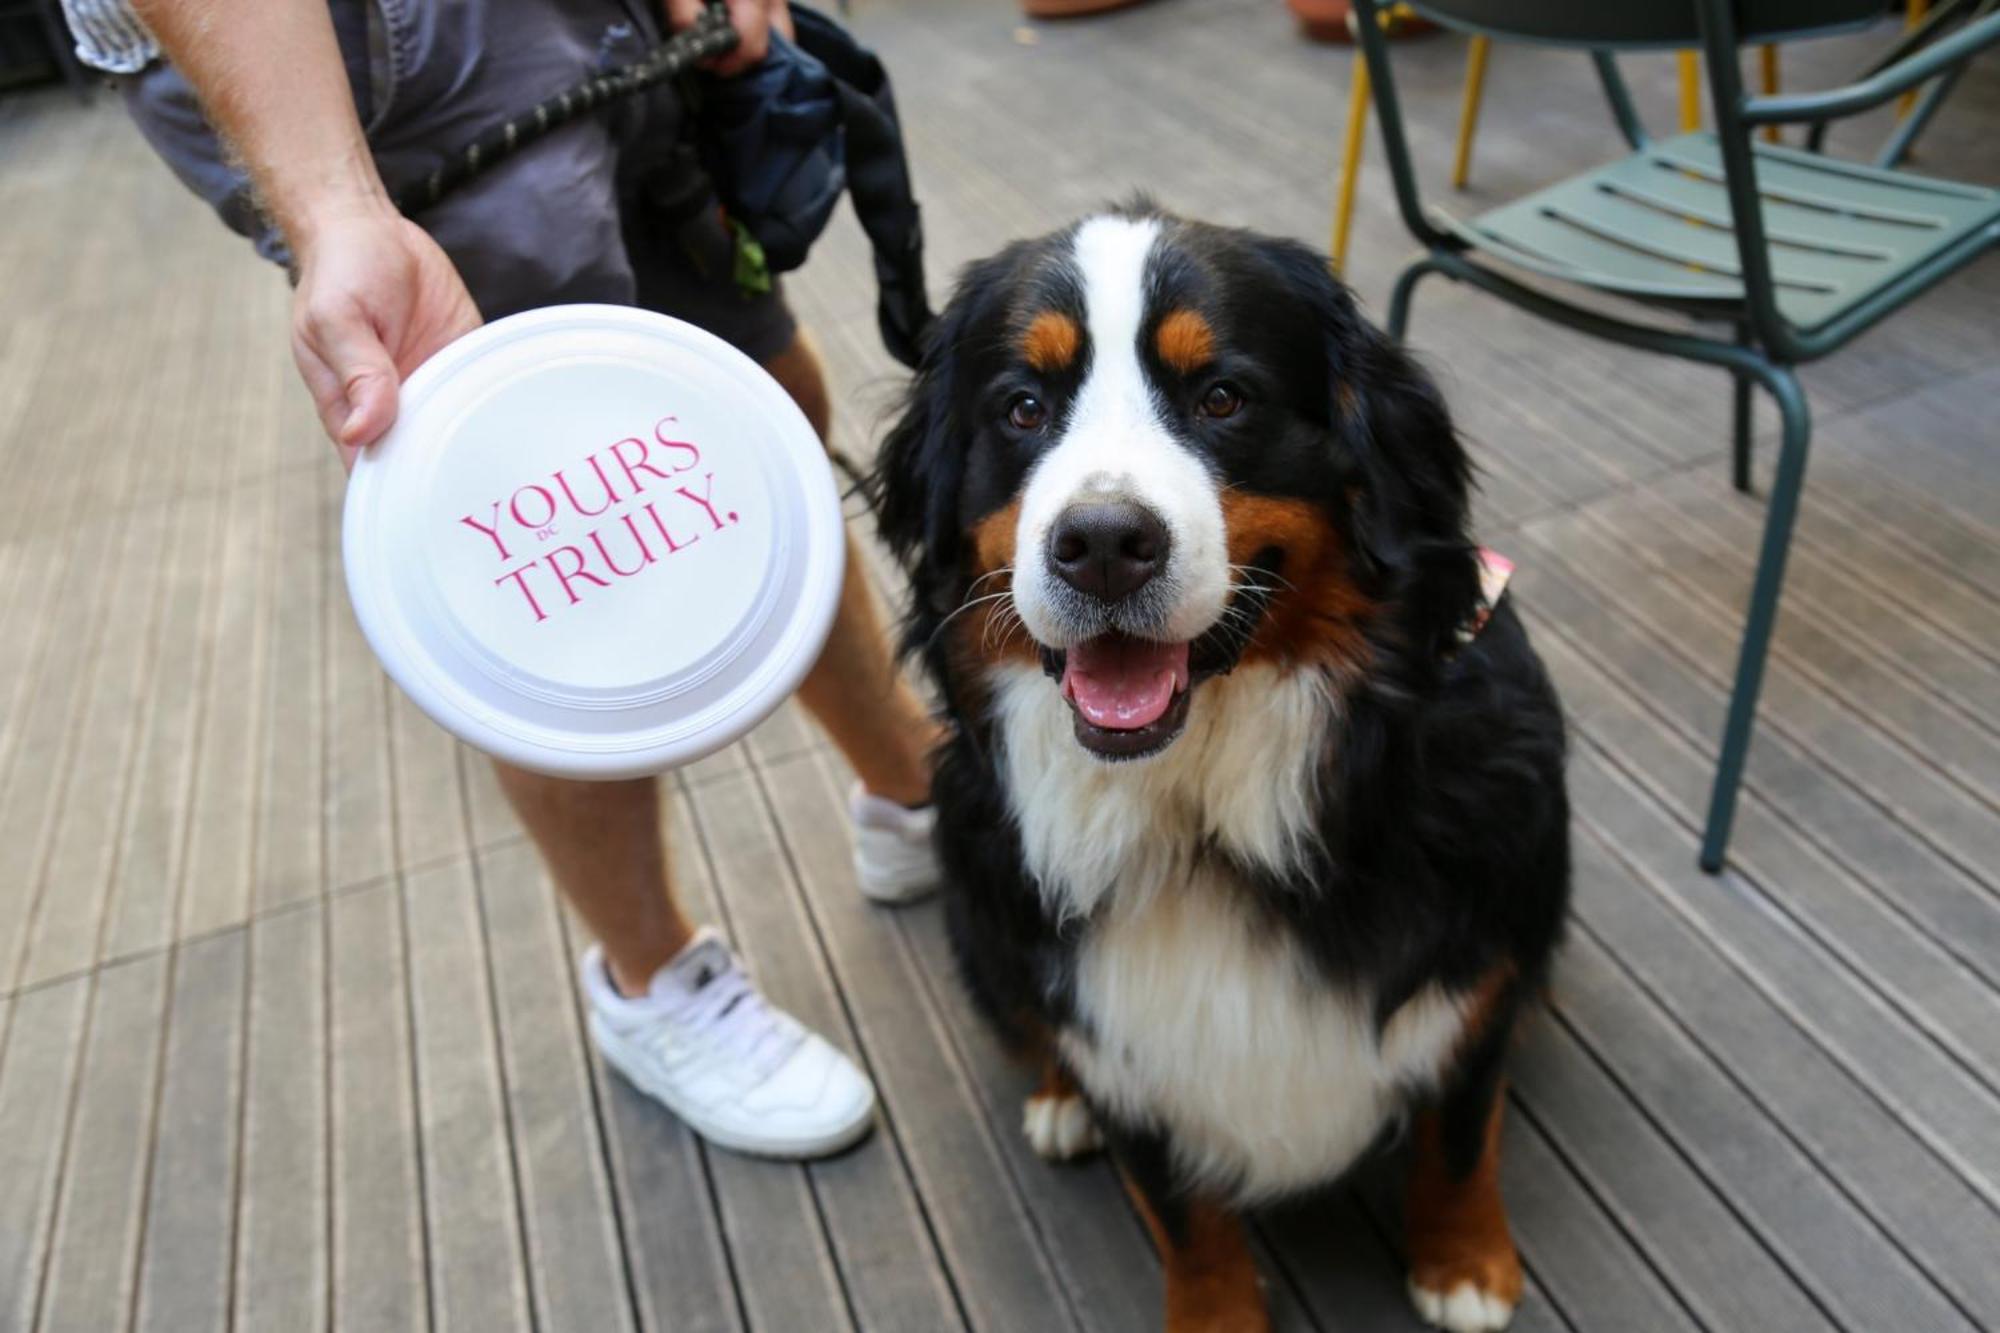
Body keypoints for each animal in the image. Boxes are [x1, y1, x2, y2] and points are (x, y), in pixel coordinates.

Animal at [876, 200, 1576, 1328]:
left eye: (1222, 397)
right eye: (1022, 407)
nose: (1101, 542)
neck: (1203, 813)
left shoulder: (1476, 965)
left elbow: (1460, 1136)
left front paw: (1465, 1264)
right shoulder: (1124, 1042)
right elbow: (1185, 1219)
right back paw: (1057, 1104)